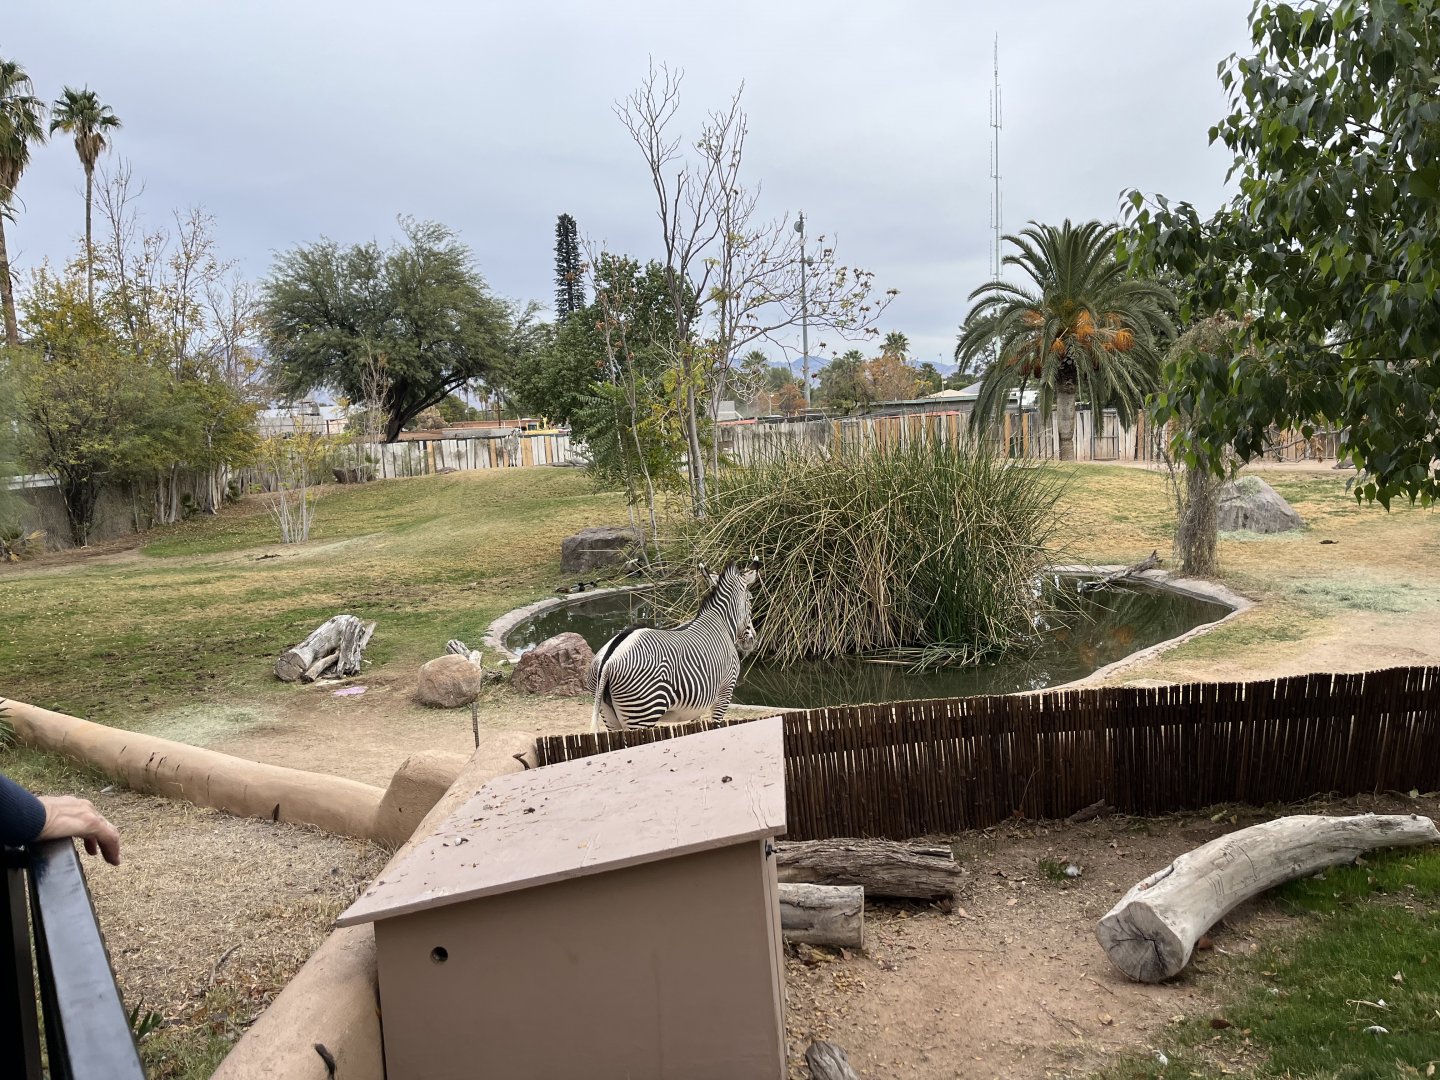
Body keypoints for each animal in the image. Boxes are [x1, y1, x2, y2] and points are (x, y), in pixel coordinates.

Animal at [587, 558, 760, 733]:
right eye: (750, 599)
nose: (752, 640)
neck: (721, 623)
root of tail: (609, 659)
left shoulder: (697, 706)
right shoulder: (725, 692)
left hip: (610, 716)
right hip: (642, 713)